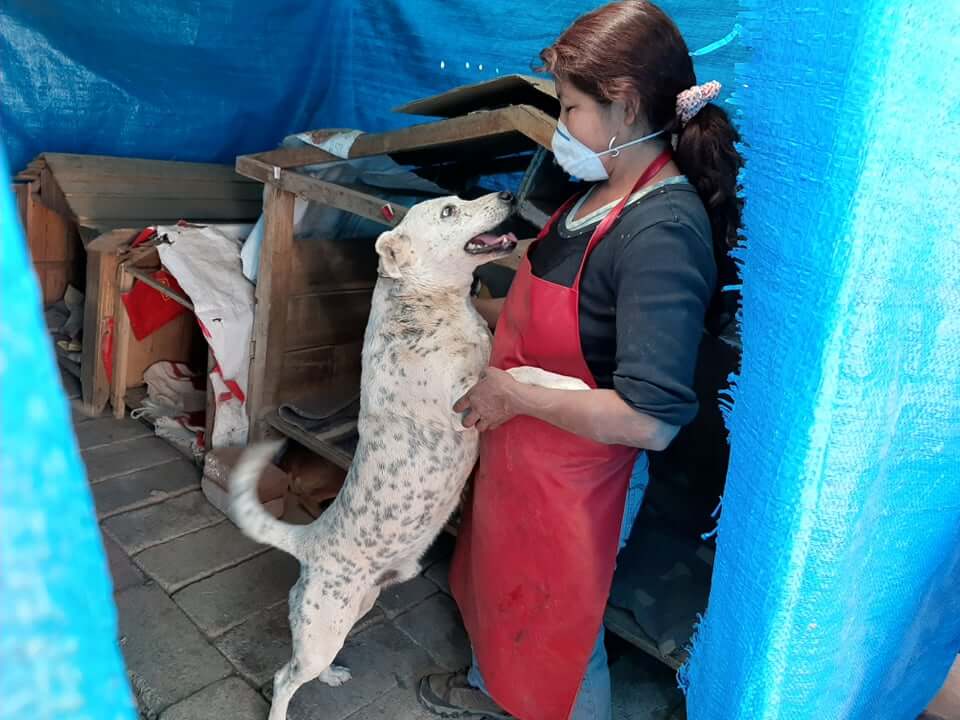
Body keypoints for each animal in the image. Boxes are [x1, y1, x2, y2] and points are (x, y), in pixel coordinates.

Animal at [232, 193, 588, 720]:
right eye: (448, 211)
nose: (508, 196)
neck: (431, 302)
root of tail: (309, 539)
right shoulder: (468, 401)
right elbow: (515, 374)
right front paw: (572, 385)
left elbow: (512, 366)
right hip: (323, 626)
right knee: (284, 678)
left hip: (354, 609)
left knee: (308, 668)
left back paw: (334, 676)